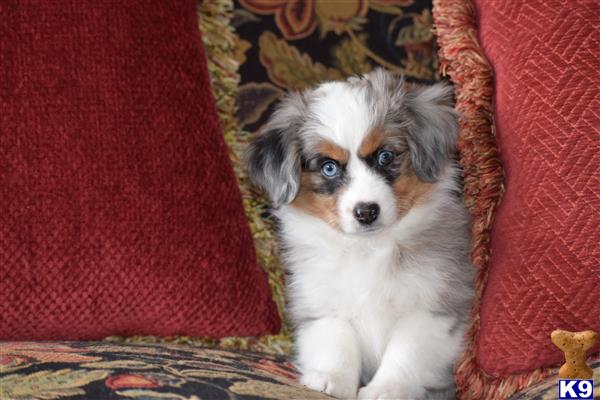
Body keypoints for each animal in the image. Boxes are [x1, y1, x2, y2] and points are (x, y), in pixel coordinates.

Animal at [244, 69, 474, 400]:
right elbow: (337, 344)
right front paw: (328, 381)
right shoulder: (322, 304)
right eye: (329, 167)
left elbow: (405, 354)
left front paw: (385, 390)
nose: (366, 212)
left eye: (385, 156)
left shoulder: (433, 308)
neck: (369, 249)